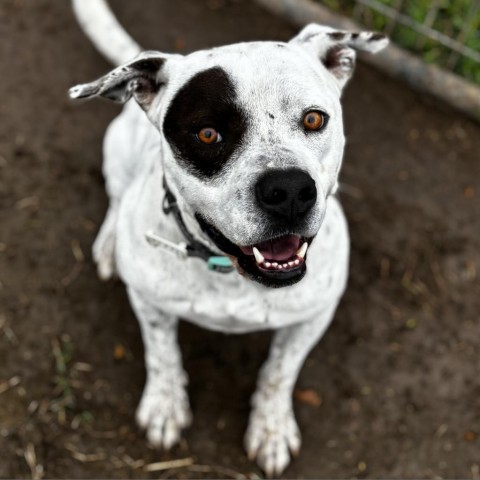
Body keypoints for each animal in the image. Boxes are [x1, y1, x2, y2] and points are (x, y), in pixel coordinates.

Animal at [69, 0, 388, 472]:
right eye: (207, 133)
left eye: (314, 119)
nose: (288, 190)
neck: (229, 273)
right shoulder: (149, 303)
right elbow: (162, 353)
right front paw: (165, 405)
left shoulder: (313, 317)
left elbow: (279, 372)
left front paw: (271, 429)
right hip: (116, 151)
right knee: (115, 195)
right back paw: (110, 244)